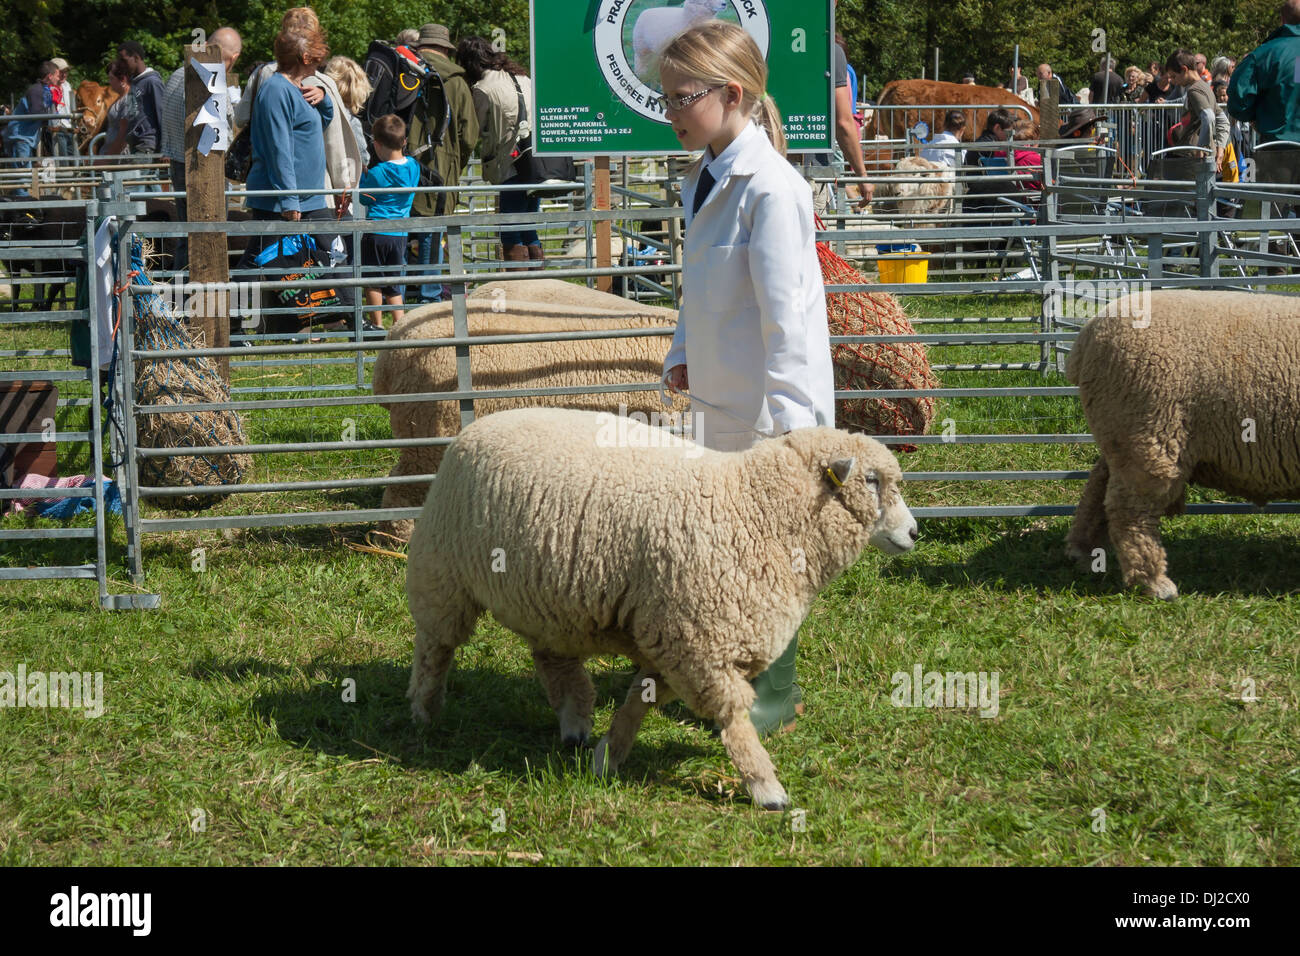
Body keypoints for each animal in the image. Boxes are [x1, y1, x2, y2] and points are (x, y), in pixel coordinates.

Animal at [400, 408, 920, 811]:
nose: (915, 533)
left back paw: (574, 727)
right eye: (871, 481)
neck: (758, 509)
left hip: (547, 599)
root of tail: (476, 425)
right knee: (434, 649)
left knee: (553, 661)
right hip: (442, 574)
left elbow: (639, 700)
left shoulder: (673, 636)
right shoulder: (700, 643)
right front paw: (766, 787)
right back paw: (423, 714)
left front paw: (607, 756)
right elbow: (734, 721)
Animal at [1060, 290, 1300, 598]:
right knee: (1130, 509)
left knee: (1097, 485)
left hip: (1120, 431)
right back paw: (1153, 582)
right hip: (1148, 435)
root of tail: (1088, 334)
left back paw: (1083, 552)